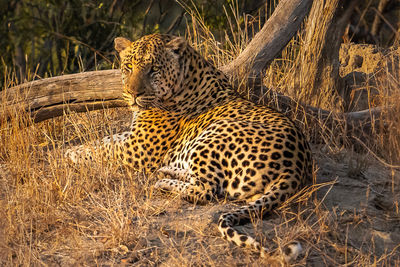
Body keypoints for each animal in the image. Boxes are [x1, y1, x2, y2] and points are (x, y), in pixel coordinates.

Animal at [65, 34, 312, 264]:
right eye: (129, 67)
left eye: (153, 70)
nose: (132, 94)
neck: (187, 75)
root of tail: (296, 167)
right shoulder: (134, 137)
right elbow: (105, 140)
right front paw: (75, 149)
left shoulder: (139, 148)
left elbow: (103, 151)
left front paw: (70, 154)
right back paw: (168, 171)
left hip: (213, 134)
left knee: (206, 190)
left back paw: (164, 182)